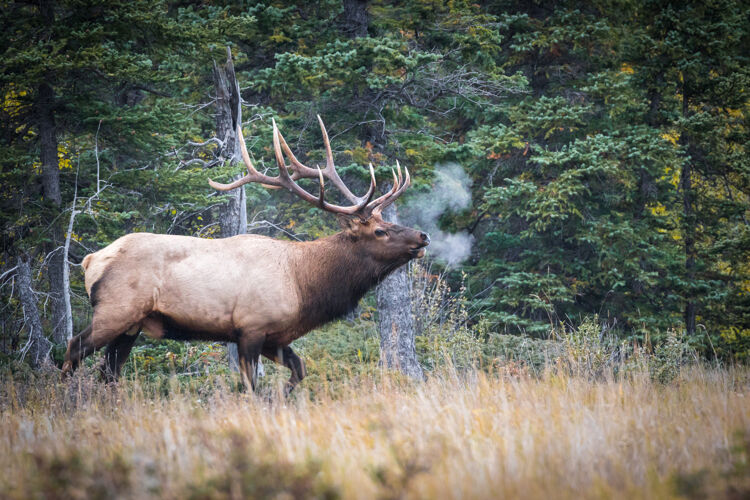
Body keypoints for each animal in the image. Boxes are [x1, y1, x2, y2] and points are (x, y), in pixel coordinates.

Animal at [61, 115, 428, 392]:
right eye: (379, 231)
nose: (422, 236)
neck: (304, 286)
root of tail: (91, 260)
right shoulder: (251, 327)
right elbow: (252, 387)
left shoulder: (274, 337)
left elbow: (299, 370)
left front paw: (282, 396)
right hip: (116, 311)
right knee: (74, 348)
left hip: (133, 325)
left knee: (109, 372)